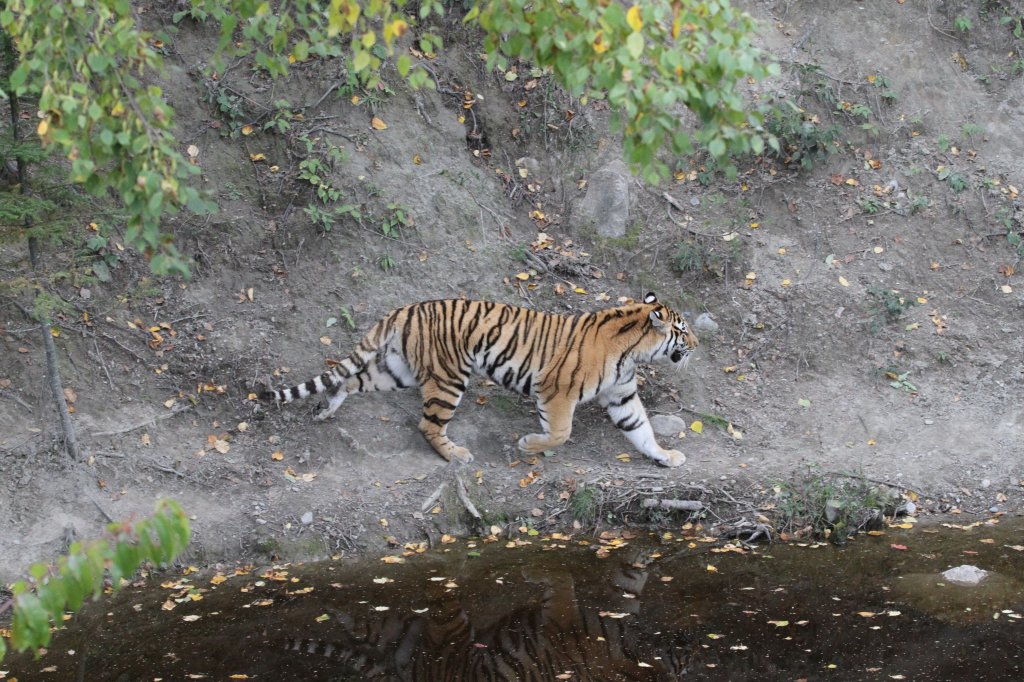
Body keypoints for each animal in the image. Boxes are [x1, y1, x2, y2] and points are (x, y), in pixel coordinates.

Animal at [260, 292, 700, 466]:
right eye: (682, 330)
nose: (697, 343)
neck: (632, 351)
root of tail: (405, 308)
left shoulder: (621, 396)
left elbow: (642, 430)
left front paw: (666, 457)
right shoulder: (555, 391)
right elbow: (561, 433)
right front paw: (529, 445)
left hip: (396, 371)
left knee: (351, 381)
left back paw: (328, 408)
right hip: (449, 378)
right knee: (427, 425)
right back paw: (456, 454)